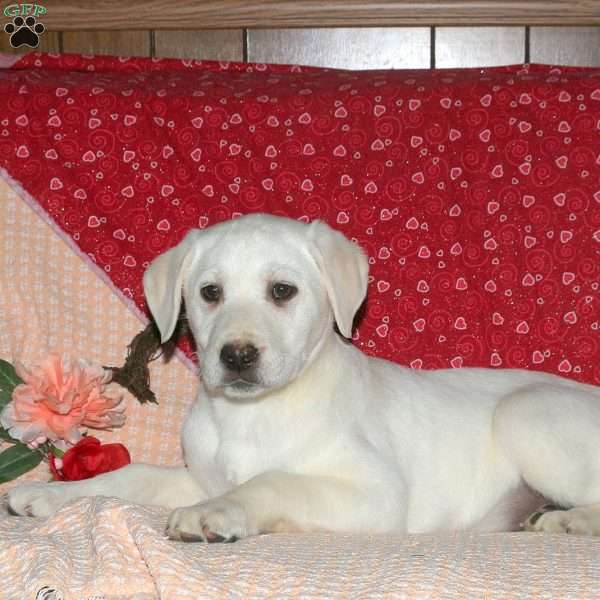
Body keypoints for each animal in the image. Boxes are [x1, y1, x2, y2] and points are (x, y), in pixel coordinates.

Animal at [7, 214, 600, 540]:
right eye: (209, 292)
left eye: (282, 291)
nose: (237, 355)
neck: (252, 416)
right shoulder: (200, 475)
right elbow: (135, 475)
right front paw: (58, 496)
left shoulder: (376, 493)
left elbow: (273, 479)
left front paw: (219, 514)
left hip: (527, 412)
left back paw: (566, 521)